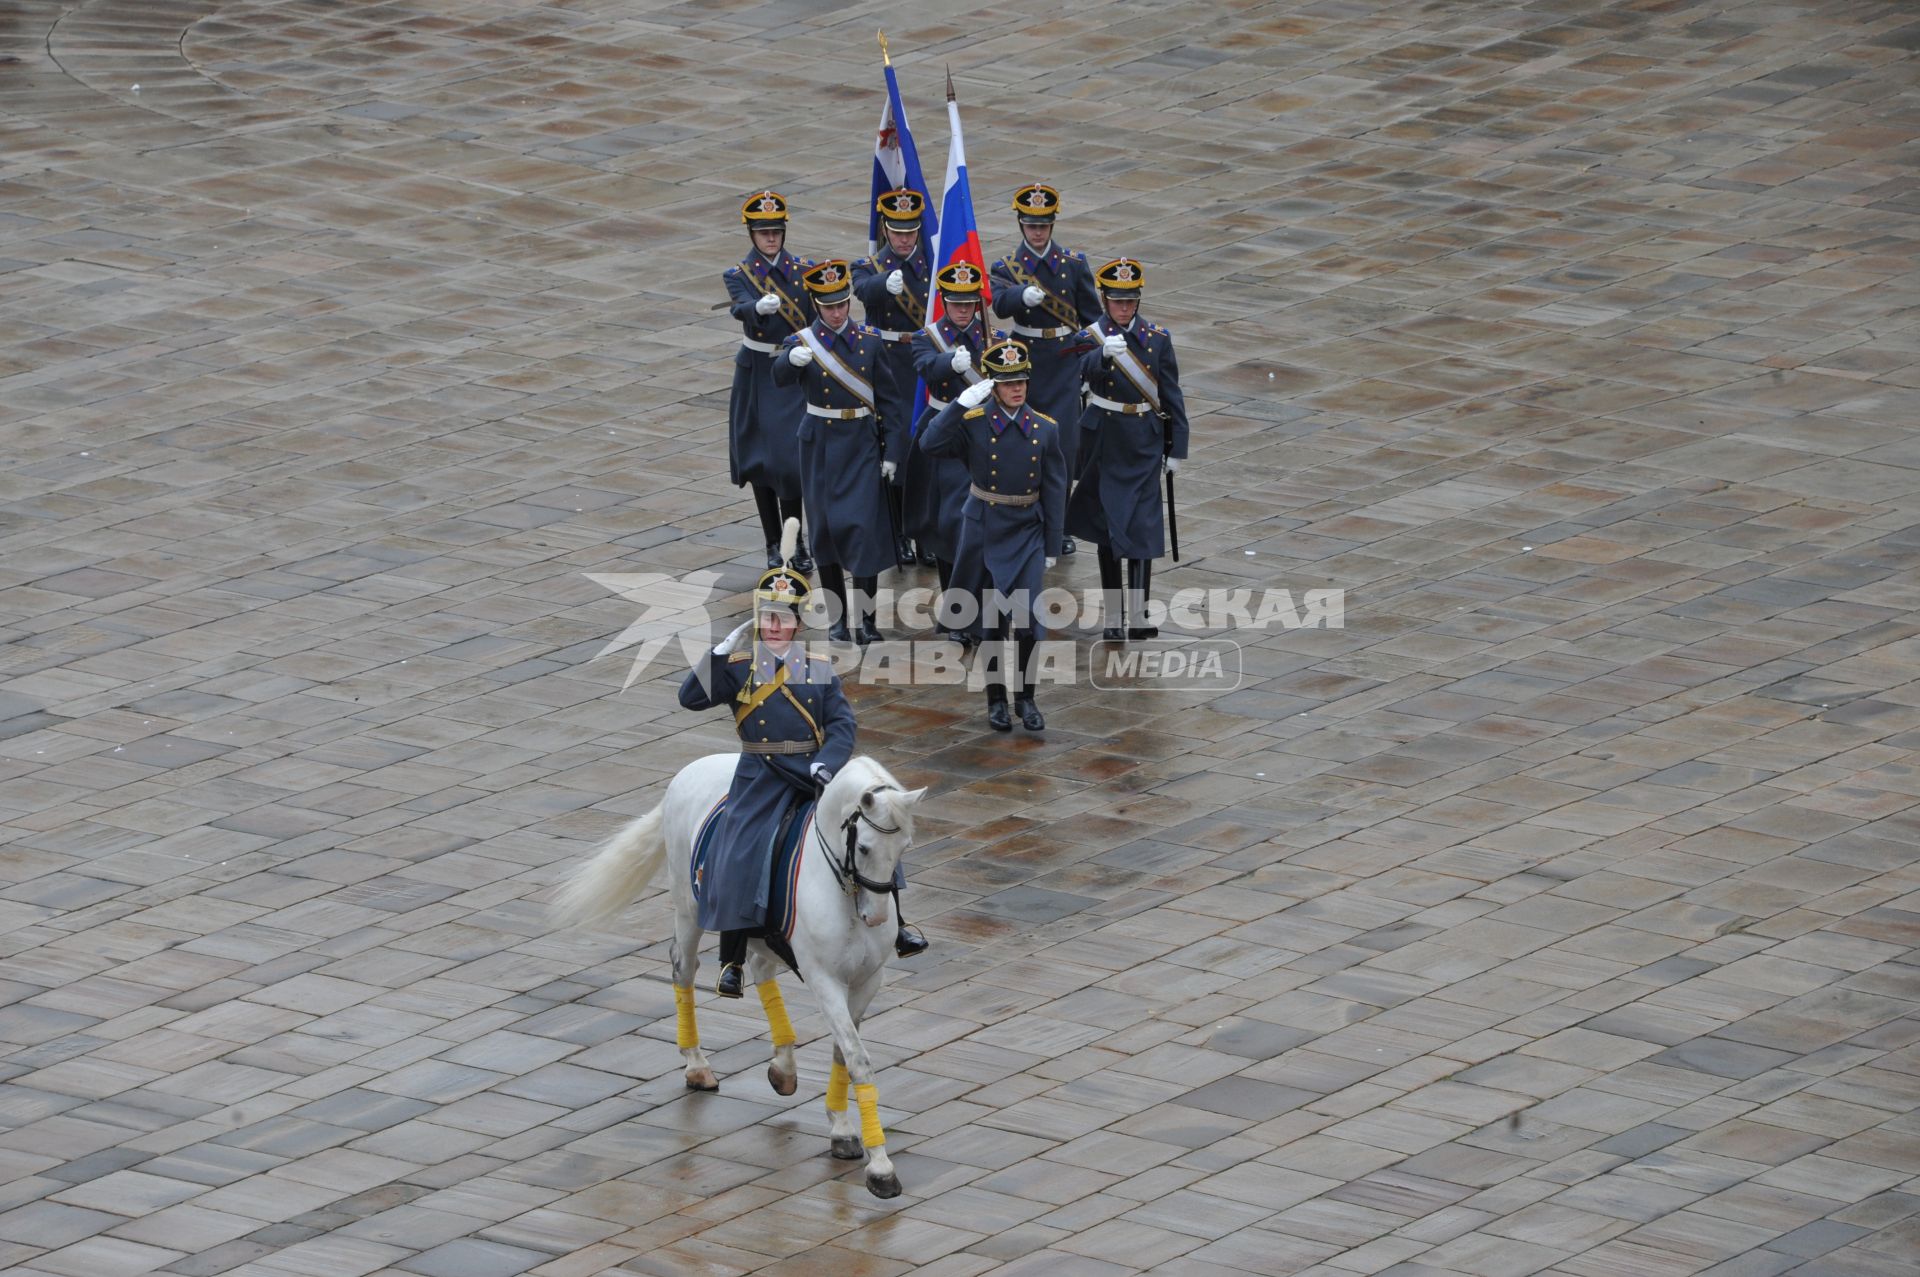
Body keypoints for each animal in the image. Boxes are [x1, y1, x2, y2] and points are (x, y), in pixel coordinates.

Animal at [552, 748, 925, 1198]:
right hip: (689, 908)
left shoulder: (868, 980)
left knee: (761, 967)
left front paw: (841, 1130)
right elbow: (857, 1059)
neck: (841, 890)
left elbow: (843, 1052)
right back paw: (697, 1065)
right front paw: (880, 1168)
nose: (877, 917)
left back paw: (783, 1067)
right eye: (866, 847)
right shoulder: (824, 980)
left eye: (905, 847)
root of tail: (693, 767)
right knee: (683, 968)